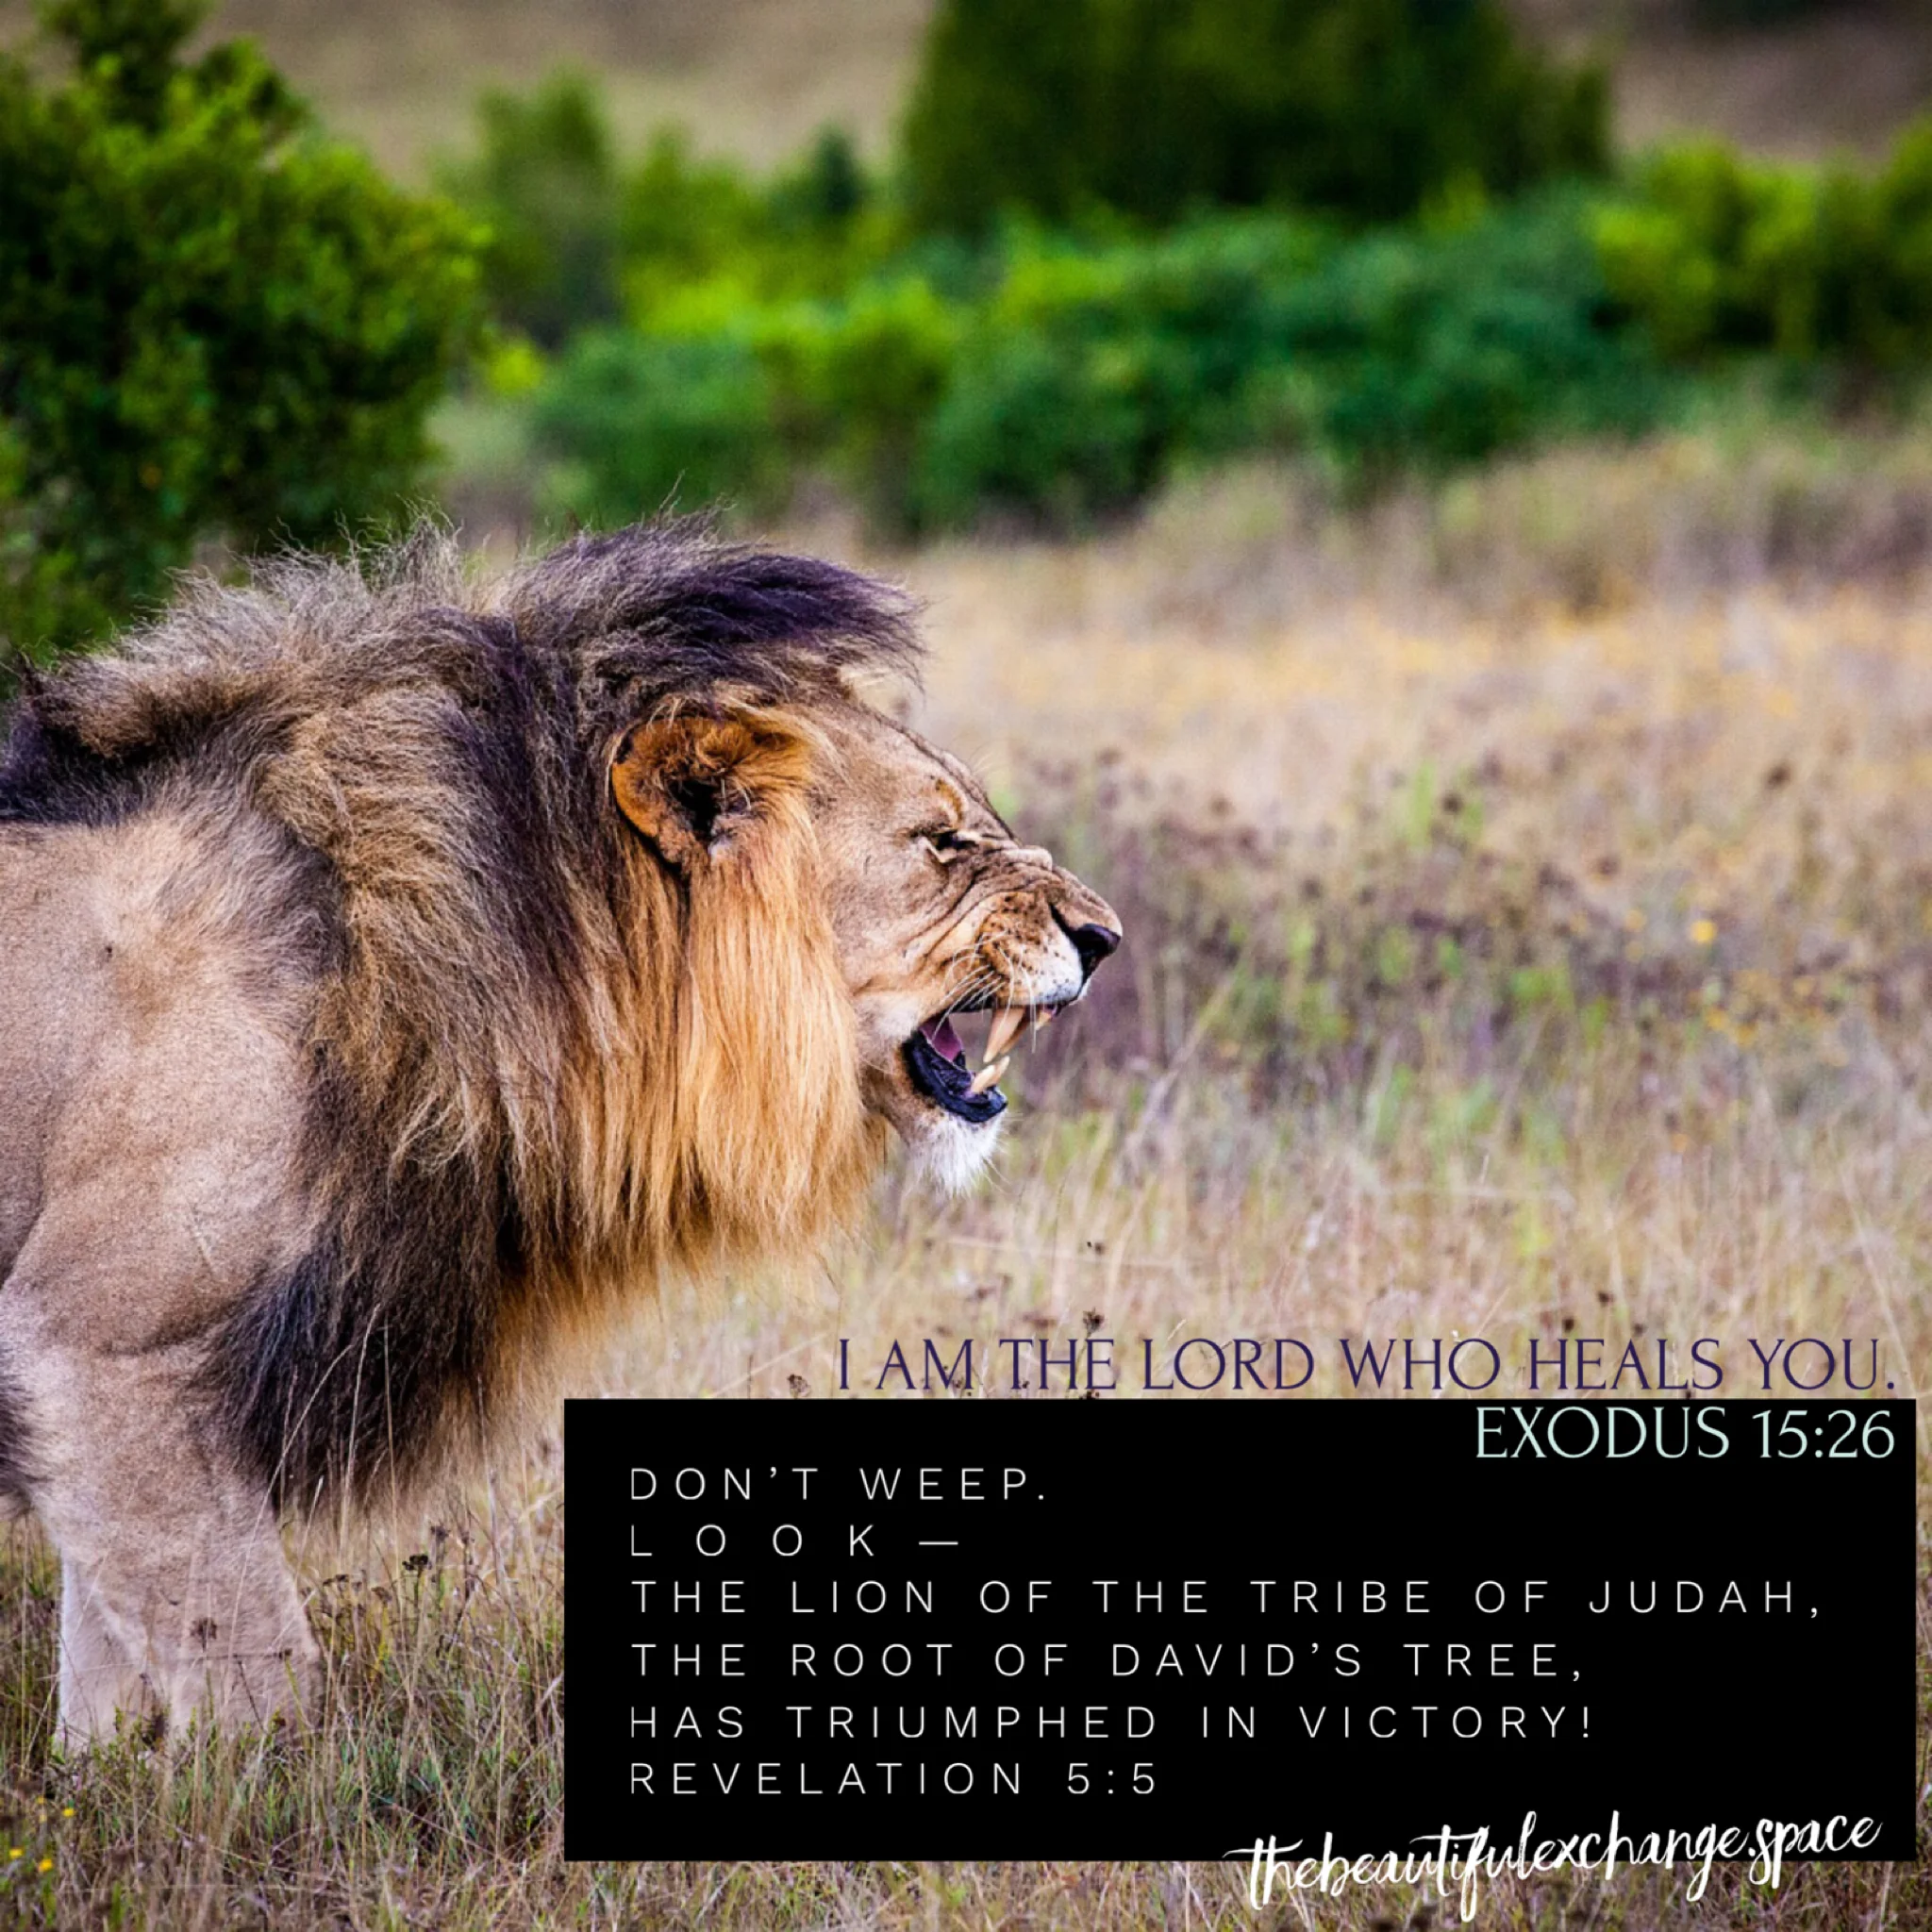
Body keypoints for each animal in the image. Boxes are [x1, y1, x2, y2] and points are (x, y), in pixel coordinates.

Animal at [0, 519, 1120, 1746]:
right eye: (940, 838)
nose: (1105, 936)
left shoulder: (105, 1386)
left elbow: (109, 1668)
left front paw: (112, 1781)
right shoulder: (99, 1343)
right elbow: (252, 1665)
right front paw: (274, 1792)